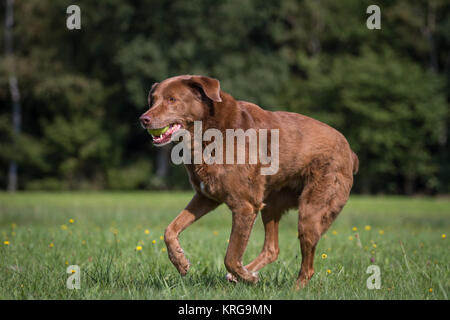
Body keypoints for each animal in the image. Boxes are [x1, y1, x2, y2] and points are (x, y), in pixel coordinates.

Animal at [139, 75, 356, 290]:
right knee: (272, 249)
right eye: (153, 100)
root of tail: (350, 151)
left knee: (307, 265)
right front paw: (180, 262)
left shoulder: (244, 205)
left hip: (311, 211)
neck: (207, 134)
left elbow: (231, 256)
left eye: (172, 99)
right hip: (271, 203)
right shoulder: (206, 196)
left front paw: (248, 279)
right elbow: (169, 230)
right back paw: (245, 274)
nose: (143, 119)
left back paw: (293, 289)